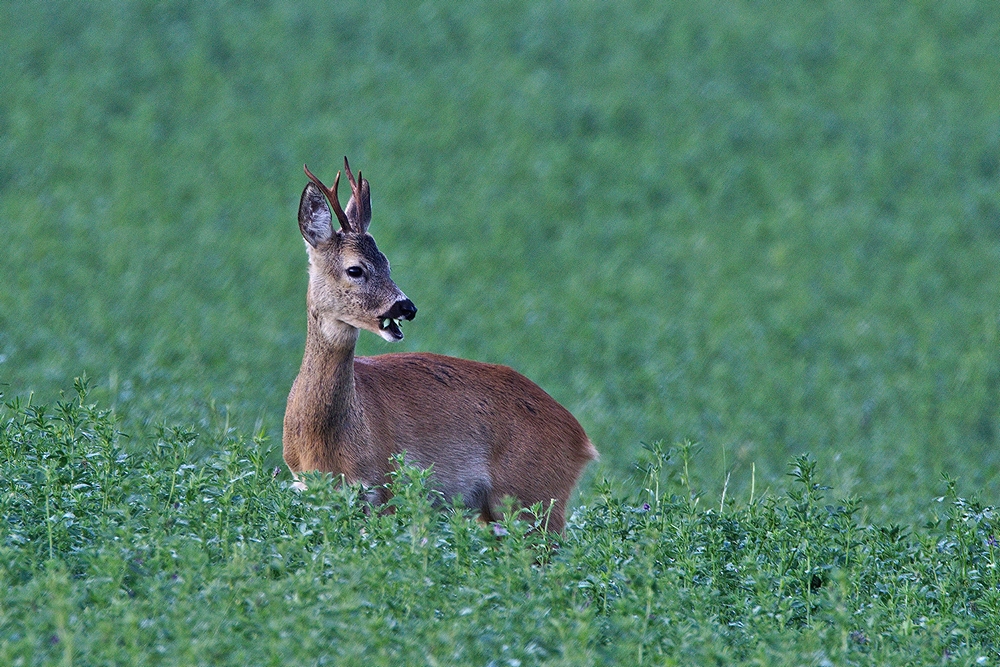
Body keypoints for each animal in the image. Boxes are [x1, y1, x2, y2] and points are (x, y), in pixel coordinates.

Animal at [282, 157, 592, 532]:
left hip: (533, 500)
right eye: (355, 269)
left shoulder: (384, 485)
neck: (324, 440)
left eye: (387, 263)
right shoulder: (306, 488)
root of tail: (582, 441)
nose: (406, 307)